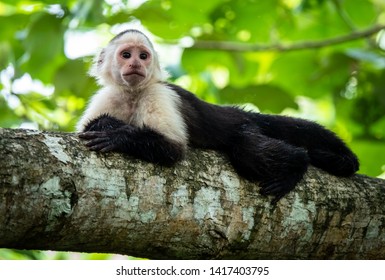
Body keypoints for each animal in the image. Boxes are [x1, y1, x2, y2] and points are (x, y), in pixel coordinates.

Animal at [76, 29, 358, 201]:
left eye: (143, 56)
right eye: (126, 55)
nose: (135, 63)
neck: (133, 94)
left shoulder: (159, 93)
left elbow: (173, 148)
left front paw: (117, 135)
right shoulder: (108, 96)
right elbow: (90, 125)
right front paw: (107, 124)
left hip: (245, 126)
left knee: (247, 147)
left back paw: (296, 164)